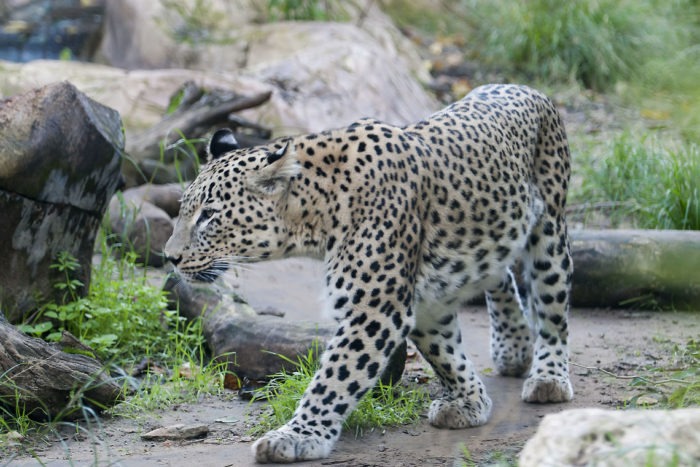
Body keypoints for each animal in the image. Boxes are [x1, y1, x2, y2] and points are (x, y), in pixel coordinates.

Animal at [165, 84, 576, 464]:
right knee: (499, 272)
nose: (170, 257)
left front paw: (296, 436)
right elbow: (445, 353)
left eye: (209, 215)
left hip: (550, 231)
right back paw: (514, 348)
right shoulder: (422, 300)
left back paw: (549, 378)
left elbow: (335, 378)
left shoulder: (376, 308)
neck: (315, 218)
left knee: (552, 307)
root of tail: (525, 88)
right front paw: (468, 401)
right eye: (184, 209)